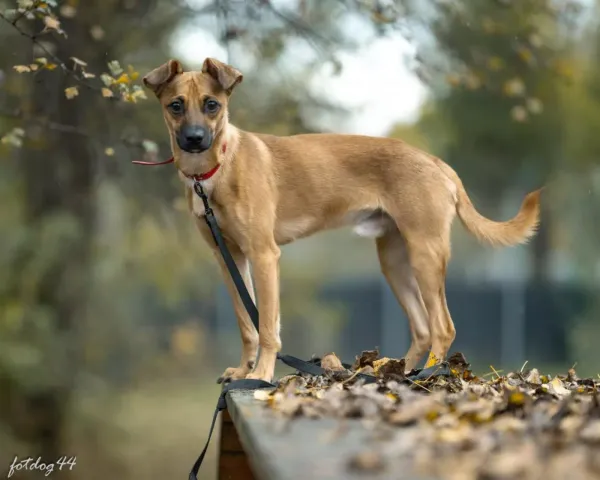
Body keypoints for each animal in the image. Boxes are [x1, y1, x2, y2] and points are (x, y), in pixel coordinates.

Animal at [143, 58, 540, 384]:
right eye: (176, 105)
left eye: (212, 104)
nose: (195, 139)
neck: (214, 171)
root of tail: (434, 161)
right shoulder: (230, 259)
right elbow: (247, 324)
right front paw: (243, 371)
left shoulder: (263, 255)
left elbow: (267, 326)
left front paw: (261, 375)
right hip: (395, 262)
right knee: (423, 328)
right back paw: (402, 374)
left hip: (426, 255)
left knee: (442, 327)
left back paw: (427, 377)